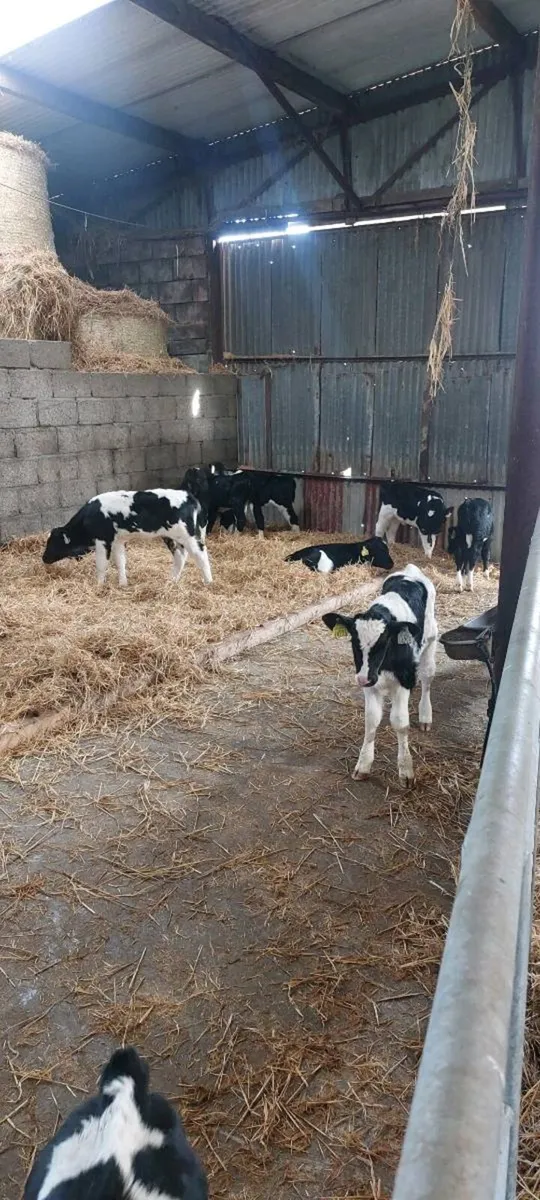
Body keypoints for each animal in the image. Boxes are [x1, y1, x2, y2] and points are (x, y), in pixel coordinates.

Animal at [42, 489, 212, 587]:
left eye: (52, 543)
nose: (43, 558)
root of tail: (190, 496)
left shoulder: (103, 539)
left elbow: (101, 564)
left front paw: (99, 585)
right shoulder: (118, 541)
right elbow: (120, 562)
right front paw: (122, 584)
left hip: (189, 535)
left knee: (201, 554)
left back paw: (208, 582)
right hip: (171, 536)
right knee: (180, 556)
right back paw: (171, 581)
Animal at [322, 563, 437, 784]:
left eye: (383, 642)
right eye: (353, 642)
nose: (363, 678)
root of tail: (410, 570)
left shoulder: (404, 679)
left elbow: (400, 722)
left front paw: (406, 770)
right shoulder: (370, 683)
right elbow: (371, 720)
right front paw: (363, 765)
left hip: (431, 641)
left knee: (427, 679)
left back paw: (426, 716)